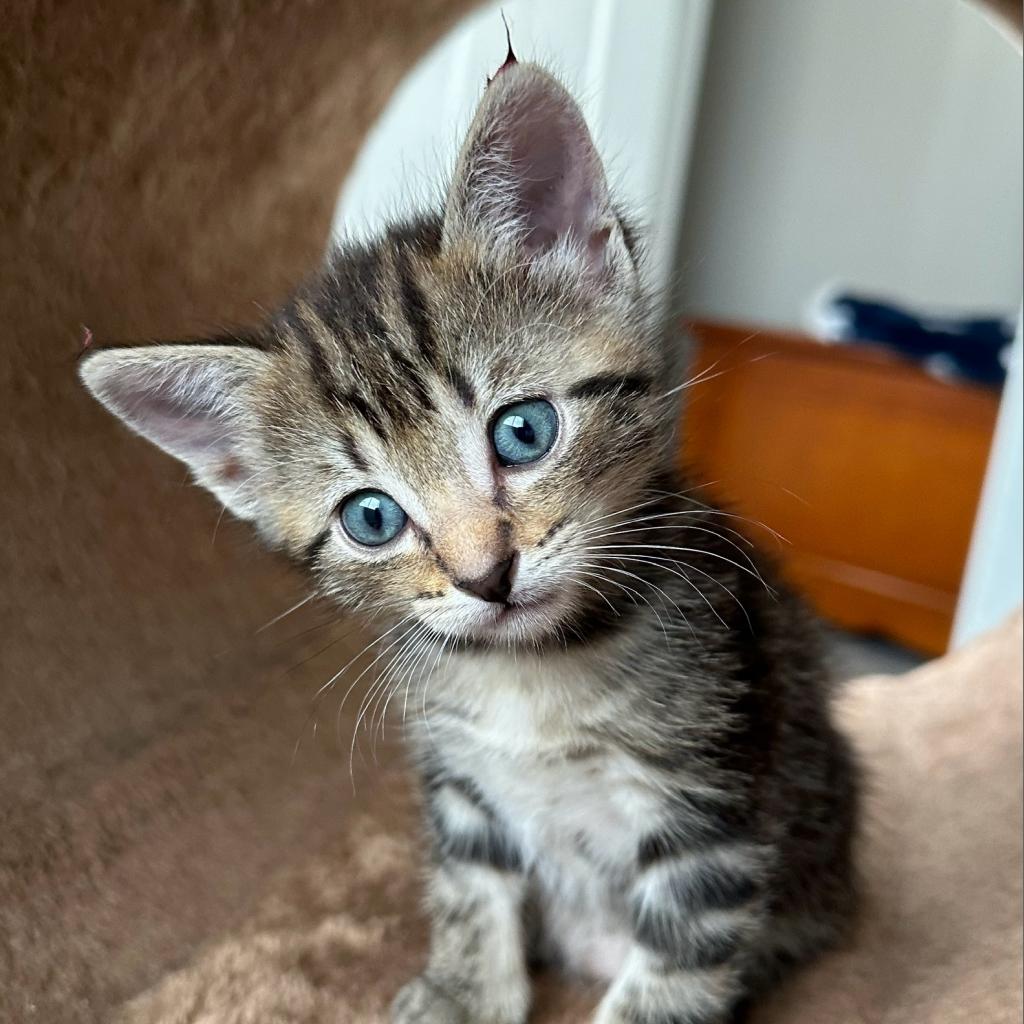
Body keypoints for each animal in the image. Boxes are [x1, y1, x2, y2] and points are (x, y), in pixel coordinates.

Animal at [79, 61, 860, 1024]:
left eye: (523, 432)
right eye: (371, 519)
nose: (486, 575)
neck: (532, 672)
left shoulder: (712, 798)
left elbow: (678, 964)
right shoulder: (459, 785)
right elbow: (468, 892)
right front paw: (460, 991)